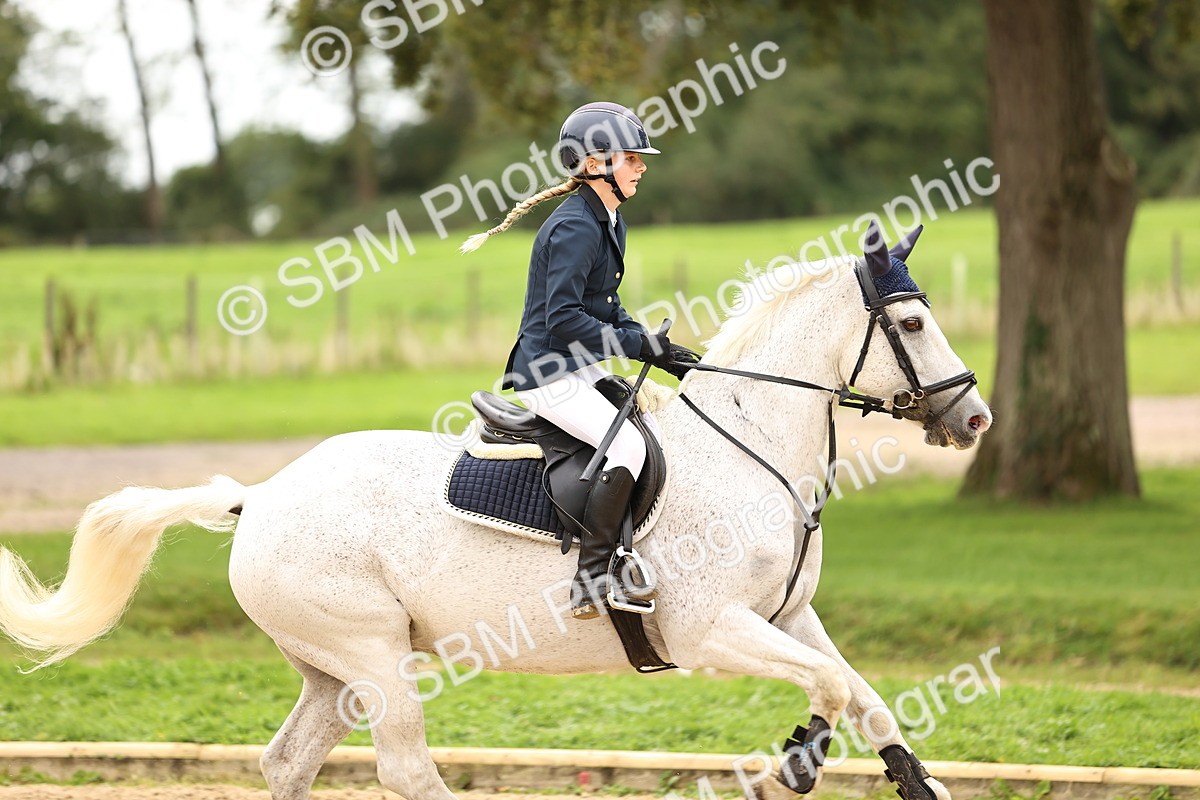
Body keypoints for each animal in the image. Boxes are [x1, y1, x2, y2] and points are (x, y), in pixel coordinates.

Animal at [0, 226, 991, 800]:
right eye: (909, 325)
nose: (974, 419)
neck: (751, 443)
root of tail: (262, 496)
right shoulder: (712, 629)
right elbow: (831, 692)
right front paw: (798, 757)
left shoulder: (790, 617)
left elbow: (864, 698)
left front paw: (902, 777)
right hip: (375, 656)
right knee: (404, 768)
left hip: (332, 669)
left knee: (289, 761)